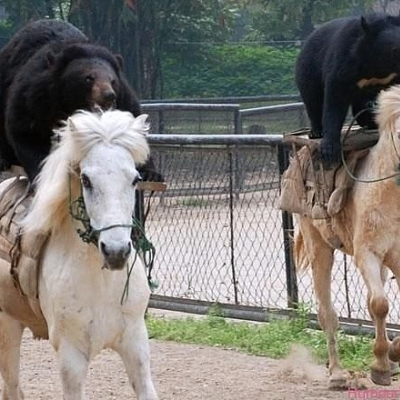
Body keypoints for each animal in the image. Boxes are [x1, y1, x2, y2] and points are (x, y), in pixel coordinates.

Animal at [0, 109, 158, 399]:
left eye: (134, 179)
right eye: (86, 180)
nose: (116, 251)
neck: (101, 282)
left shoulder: (136, 344)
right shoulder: (71, 356)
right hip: (8, 326)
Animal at [293, 84, 400, 389]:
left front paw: (392, 355)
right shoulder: (367, 255)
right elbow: (380, 304)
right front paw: (381, 365)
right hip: (319, 249)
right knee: (327, 313)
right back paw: (338, 374)